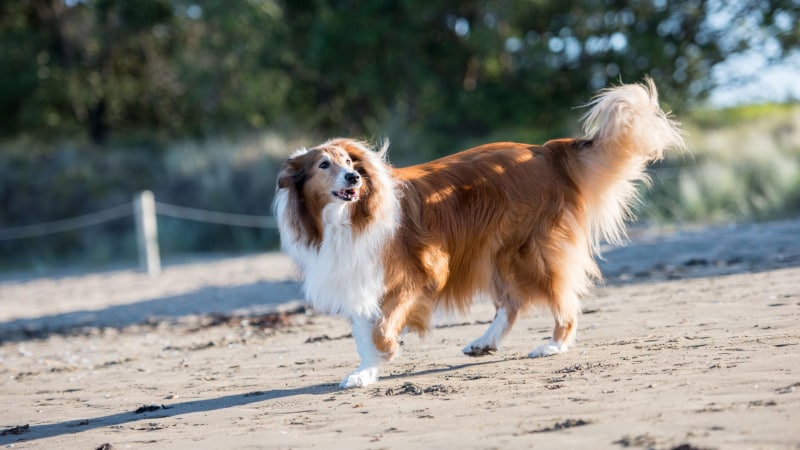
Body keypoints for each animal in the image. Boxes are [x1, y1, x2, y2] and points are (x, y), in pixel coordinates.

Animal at [274, 79, 680, 388]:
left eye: (349, 162)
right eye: (323, 165)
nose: (354, 178)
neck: (346, 219)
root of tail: (544, 151)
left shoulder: (418, 273)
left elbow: (382, 328)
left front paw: (387, 352)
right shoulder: (357, 278)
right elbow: (363, 334)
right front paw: (365, 372)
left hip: (529, 250)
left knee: (561, 299)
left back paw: (554, 344)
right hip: (496, 251)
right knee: (511, 303)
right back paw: (485, 342)